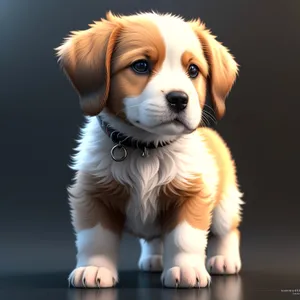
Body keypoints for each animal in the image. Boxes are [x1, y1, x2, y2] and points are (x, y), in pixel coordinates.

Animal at [56, 11, 244, 288]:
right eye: (141, 66)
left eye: (193, 70)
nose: (179, 99)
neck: (147, 148)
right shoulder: (93, 195)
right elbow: (95, 238)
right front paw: (94, 267)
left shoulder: (192, 194)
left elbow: (185, 238)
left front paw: (185, 269)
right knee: (154, 239)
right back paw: (154, 259)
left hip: (225, 202)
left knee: (228, 230)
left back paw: (224, 259)